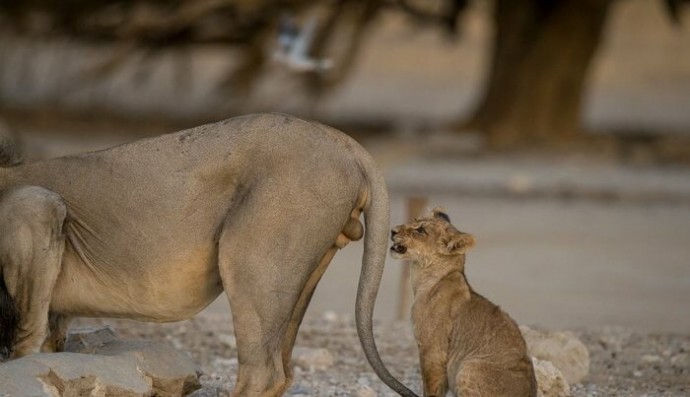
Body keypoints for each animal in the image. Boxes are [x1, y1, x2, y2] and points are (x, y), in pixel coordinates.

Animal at [0, 113, 414, 394]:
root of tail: (343, 140)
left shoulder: (34, 206)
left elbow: (28, 339)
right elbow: (50, 342)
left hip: (252, 261)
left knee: (261, 371)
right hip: (303, 273)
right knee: (282, 368)